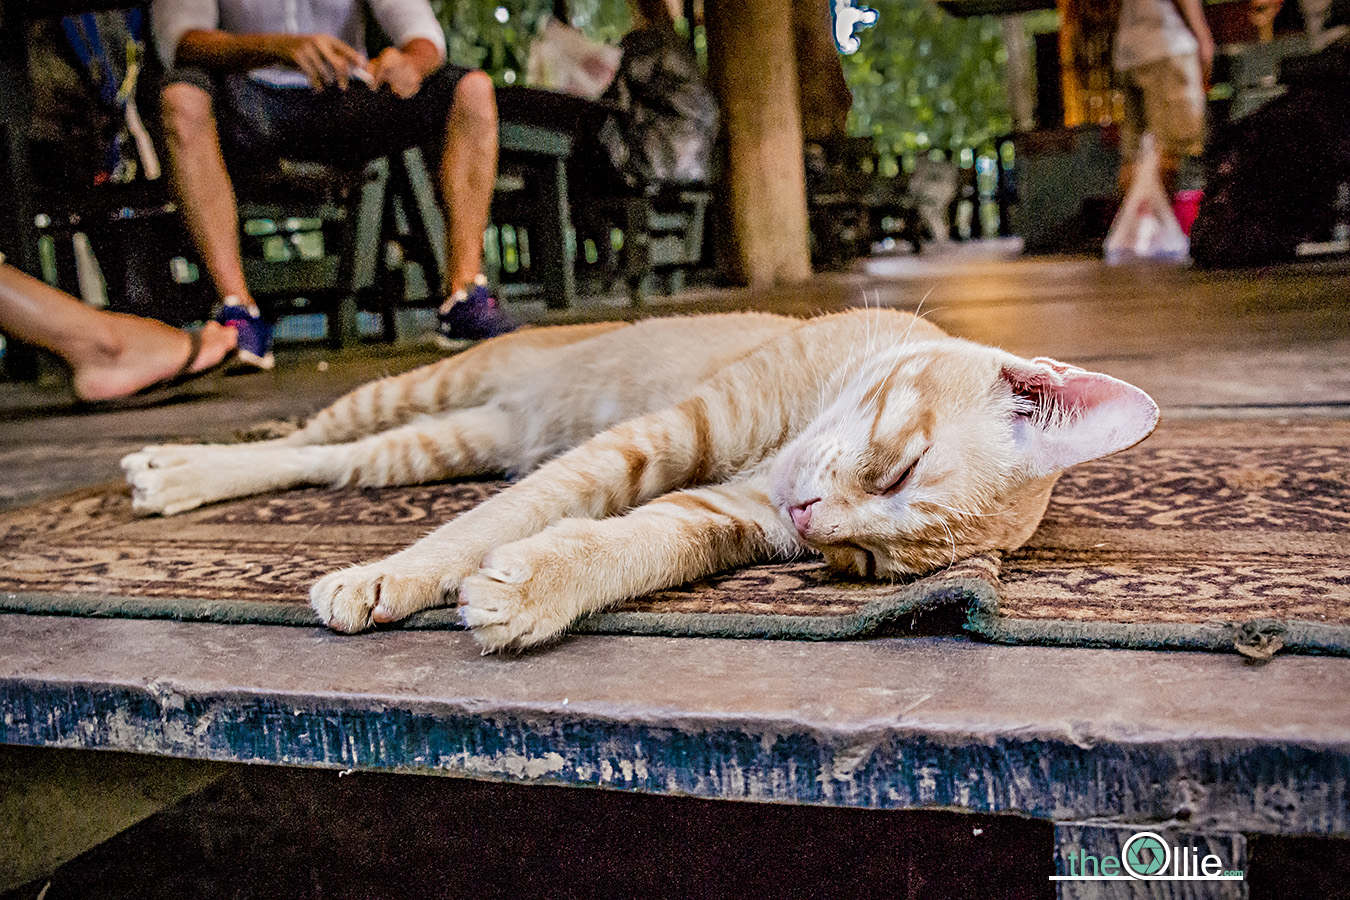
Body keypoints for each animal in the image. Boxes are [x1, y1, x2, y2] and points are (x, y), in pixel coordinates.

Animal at [122, 309, 1158, 652]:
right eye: (897, 465)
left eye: (866, 565)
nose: (809, 518)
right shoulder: (651, 439)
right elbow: (497, 518)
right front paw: (394, 575)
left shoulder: (723, 513)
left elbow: (635, 542)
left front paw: (534, 589)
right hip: (425, 388)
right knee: (308, 440)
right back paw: (172, 466)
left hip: (440, 440)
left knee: (334, 461)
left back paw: (174, 478)